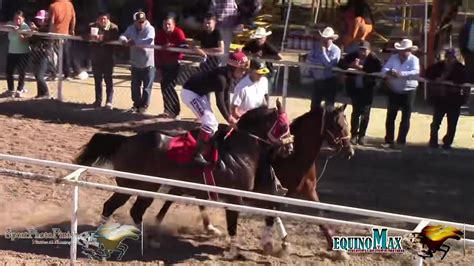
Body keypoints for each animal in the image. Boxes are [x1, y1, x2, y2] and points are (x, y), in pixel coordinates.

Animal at [74, 101, 292, 255]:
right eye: (283, 125)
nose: (289, 148)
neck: (239, 152)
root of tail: (125, 140)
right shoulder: (235, 196)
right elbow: (233, 224)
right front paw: (233, 252)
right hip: (139, 185)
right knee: (116, 207)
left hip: (143, 187)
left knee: (128, 209)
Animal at [150, 103, 354, 254]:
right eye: (338, 125)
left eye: (347, 124)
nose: (349, 151)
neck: (294, 158)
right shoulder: (270, 193)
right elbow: (272, 215)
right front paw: (273, 244)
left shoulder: (308, 191)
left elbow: (320, 216)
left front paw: (338, 250)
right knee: (173, 196)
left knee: (188, 197)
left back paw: (208, 227)